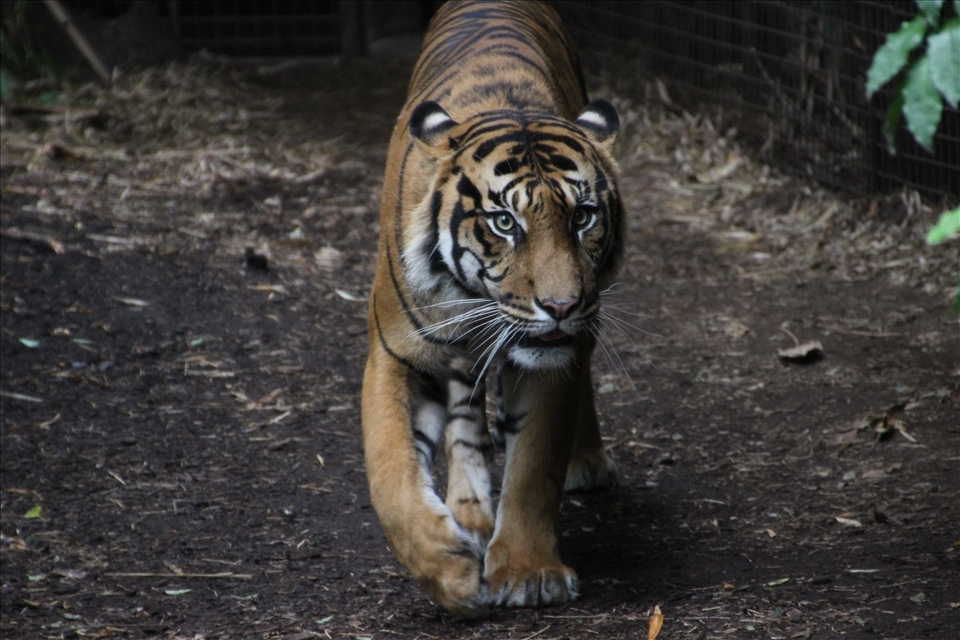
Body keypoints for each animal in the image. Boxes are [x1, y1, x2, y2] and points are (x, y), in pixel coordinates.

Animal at [361, 0, 624, 617]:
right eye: (505, 222)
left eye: (583, 217)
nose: (560, 304)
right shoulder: (394, 352)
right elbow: (389, 469)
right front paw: (449, 569)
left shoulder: (556, 356)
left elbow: (533, 468)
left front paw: (528, 573)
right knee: (464, 410)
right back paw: (470, 513)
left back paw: (585, 462)